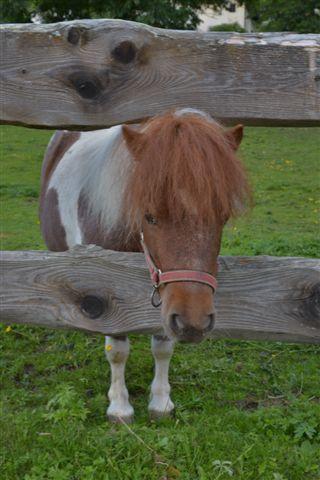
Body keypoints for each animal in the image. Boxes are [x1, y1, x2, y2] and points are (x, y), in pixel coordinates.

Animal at [40, 108, 250, 420]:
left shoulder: (169, 303)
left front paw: (160, 401)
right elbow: (116, 350)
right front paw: (119, 406)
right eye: (149, 216)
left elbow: (162, 347)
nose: (195, 322)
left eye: (222, 216)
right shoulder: (107, 294)